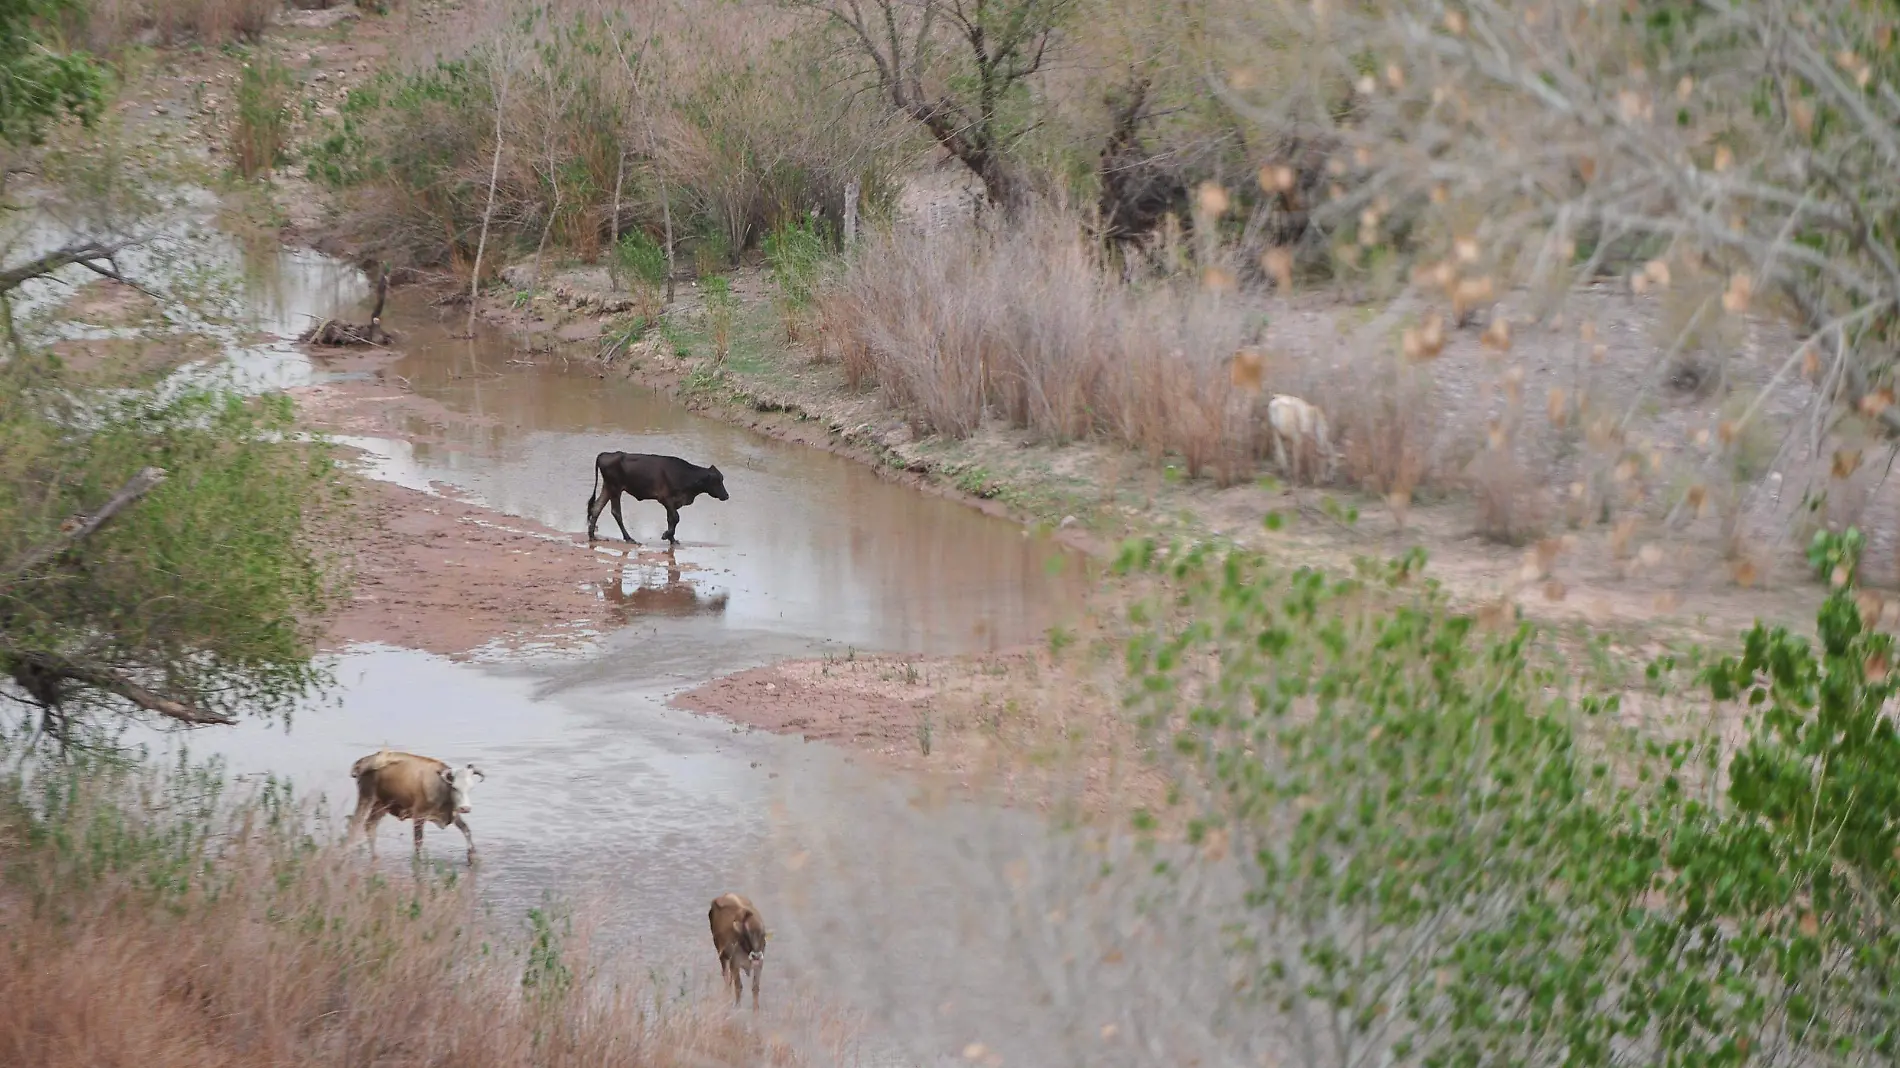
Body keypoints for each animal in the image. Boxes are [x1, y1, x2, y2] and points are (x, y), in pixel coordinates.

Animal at [585, 446, 725, 539]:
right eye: (717, 481)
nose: (726, 495)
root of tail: (605, 454)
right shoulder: (665, 498)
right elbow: (676, 518)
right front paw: (666, 535)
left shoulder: (672, 502)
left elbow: (671, 519)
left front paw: (672, 539)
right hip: (615, 488)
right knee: (616, 512)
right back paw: (628, 538)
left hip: (608, 487)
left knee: (596, 508)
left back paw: (592, 535)